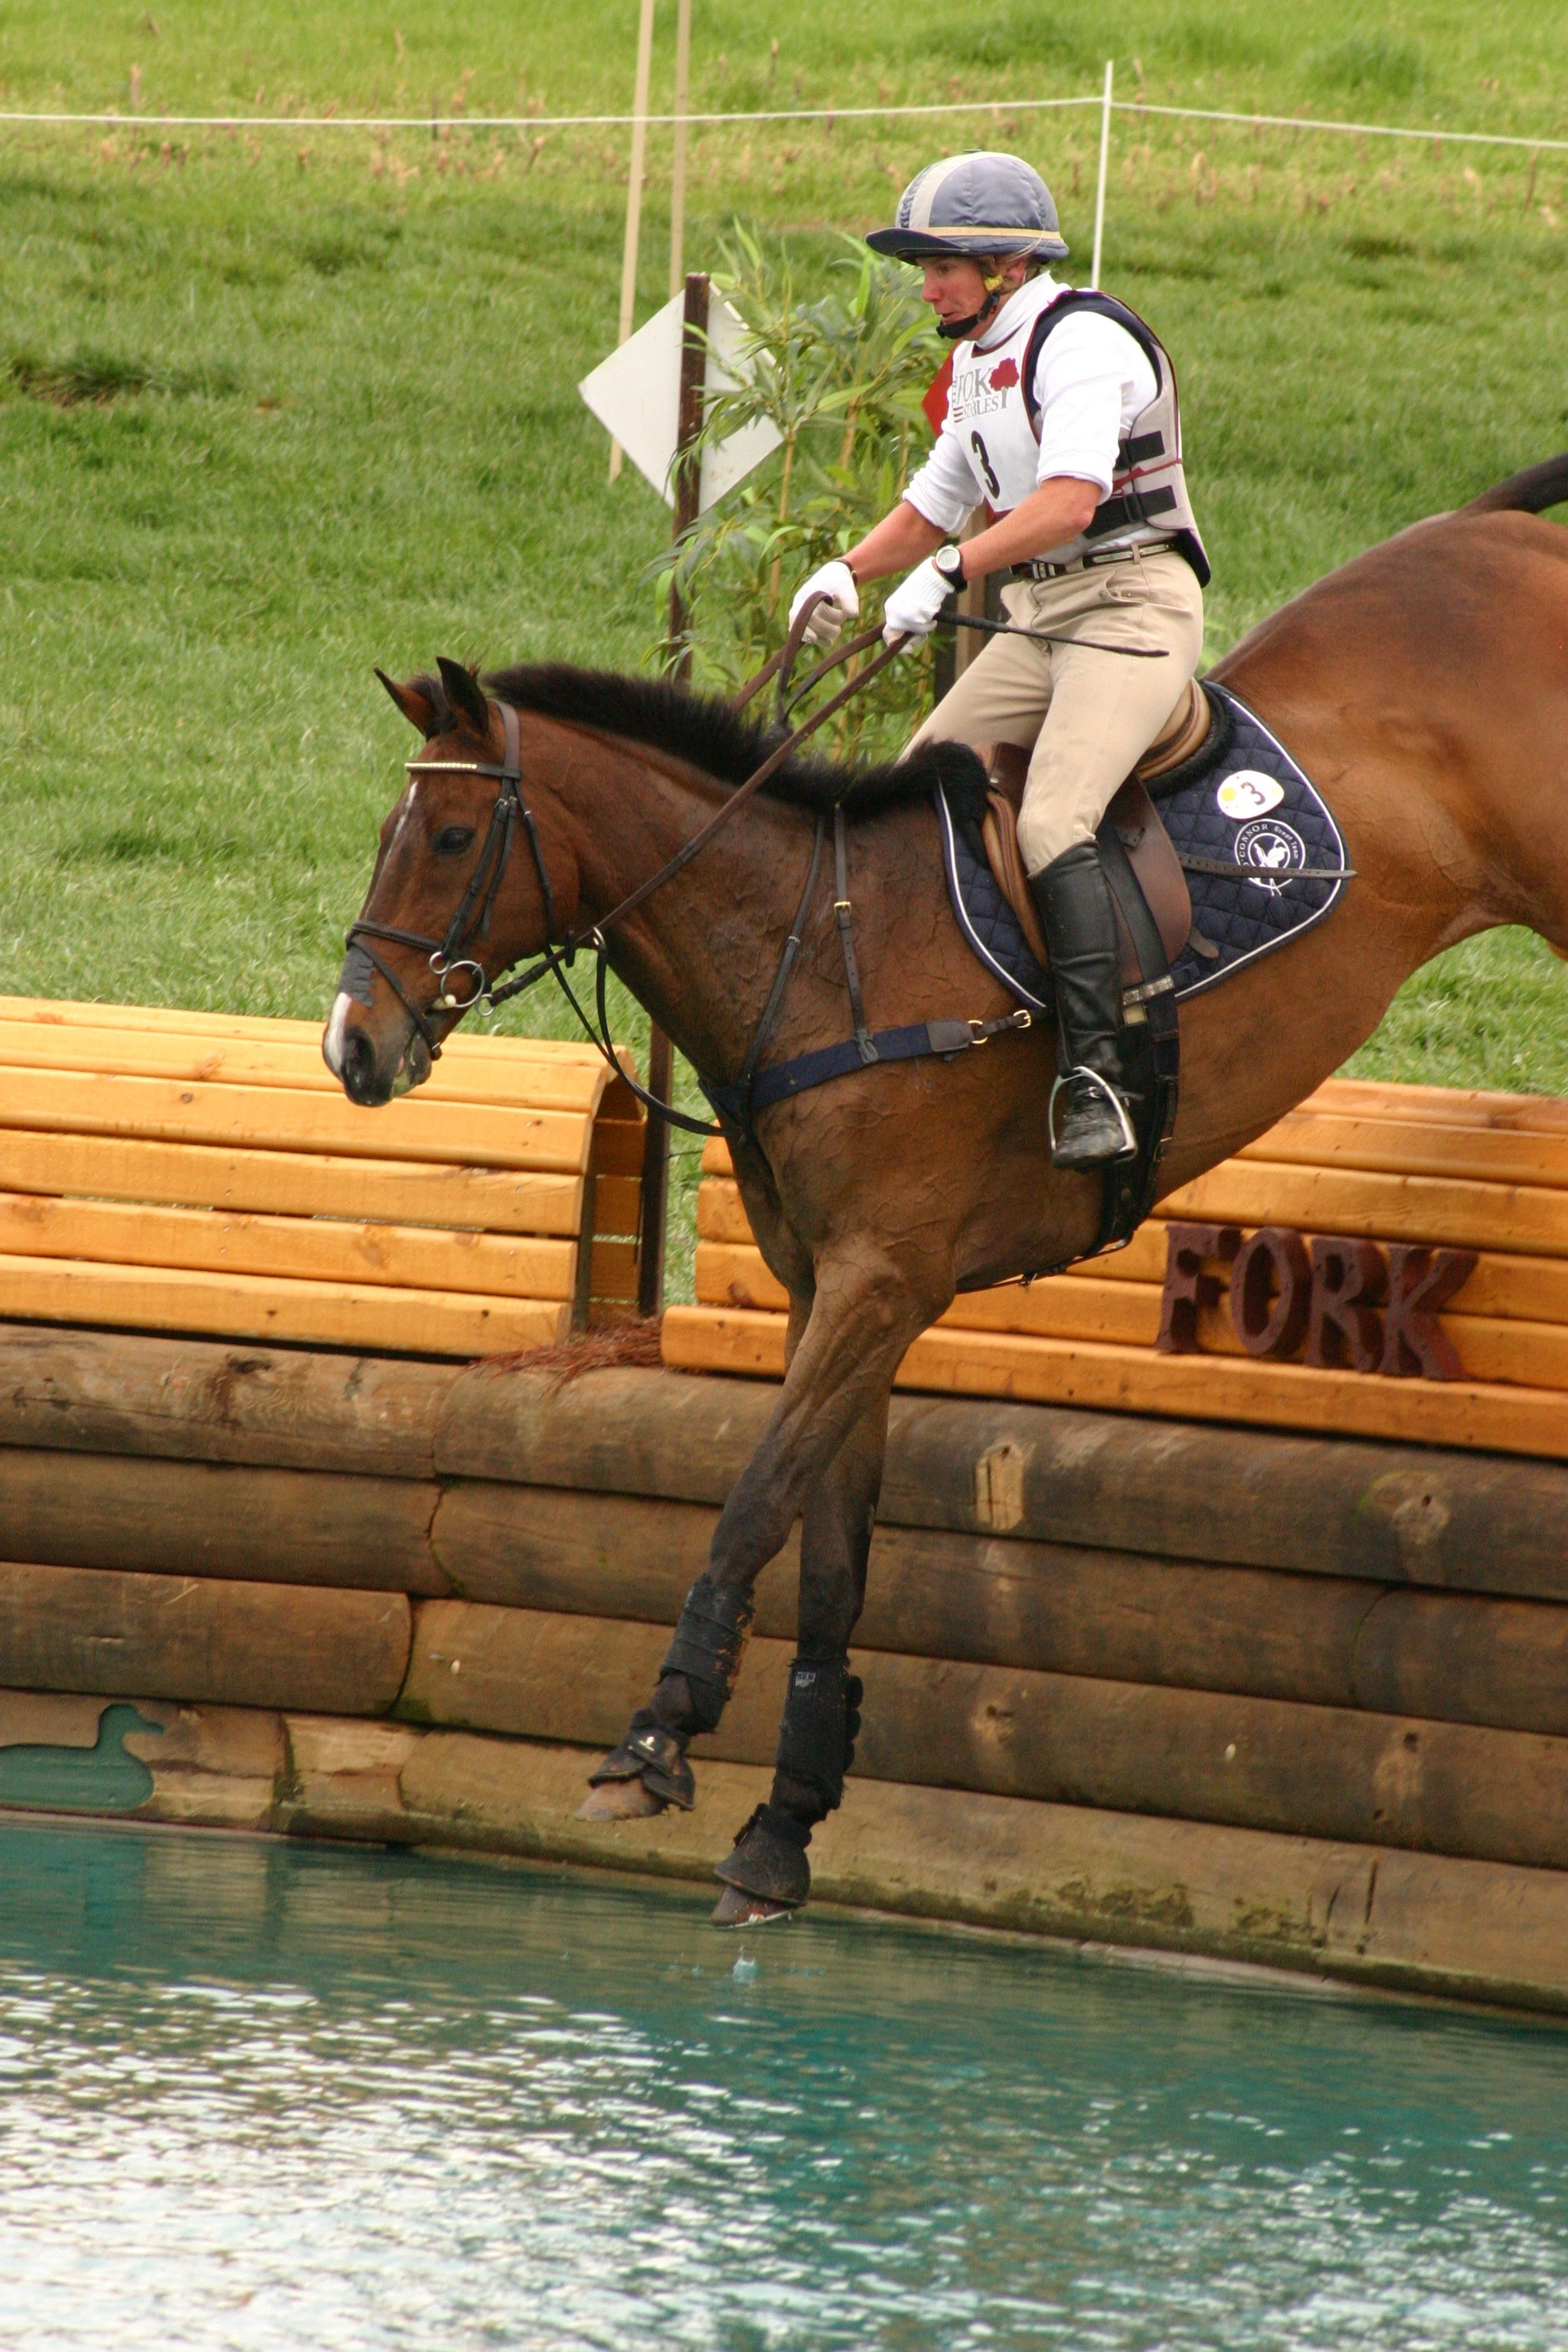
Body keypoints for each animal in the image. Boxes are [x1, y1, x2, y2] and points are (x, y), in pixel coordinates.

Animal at [325, 455, 1568, 1925]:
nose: (353, 1047)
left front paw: (656, 1737)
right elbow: (828, 1553)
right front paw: (783, 1824)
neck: (808, 945)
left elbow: (756, 1502)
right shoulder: (836, 1295)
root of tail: (1490, 541)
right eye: (392, 831)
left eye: (456, 835)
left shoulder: (882, 1281)